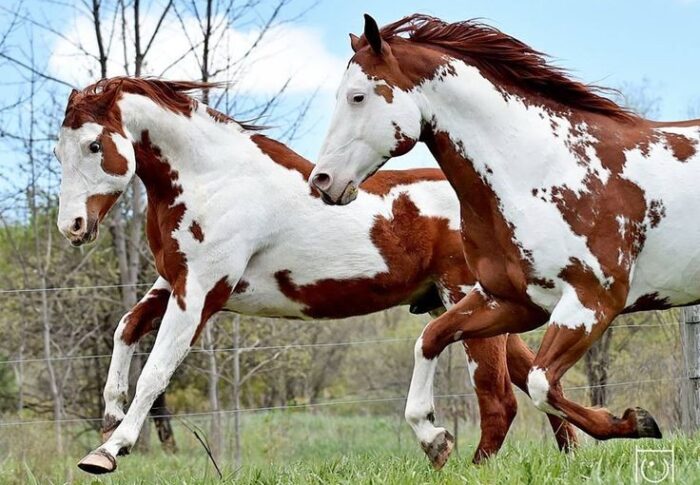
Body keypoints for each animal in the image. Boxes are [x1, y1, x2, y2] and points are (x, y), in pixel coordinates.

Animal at [53, 77, 576, 474]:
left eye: (95, 144)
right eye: (58, 151)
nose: (73, 226)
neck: (216, 180)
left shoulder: (200, 293)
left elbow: (156, 373)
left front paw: (107, 451)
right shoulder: (173, 283)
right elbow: (126, 328)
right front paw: (110, 411)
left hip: (465, 297)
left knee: (499, 400)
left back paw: (448, 450)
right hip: (478, 306)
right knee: (533, 380)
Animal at [311, 13, 700, 467]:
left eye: (357, 97)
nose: (322, 181)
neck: (541, 171)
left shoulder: (593, 303)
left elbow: (541, 384)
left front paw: (637, 421)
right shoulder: (512, 301)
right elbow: (431, 338)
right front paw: (434, 439)